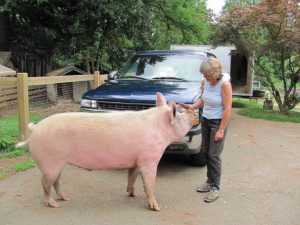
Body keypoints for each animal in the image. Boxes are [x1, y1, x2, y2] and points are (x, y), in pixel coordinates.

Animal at [17, 92, 195, 211]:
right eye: (180, 116)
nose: (192, 111)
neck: (159, 130)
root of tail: (35, 129)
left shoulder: (136, 160)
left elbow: (132, 178)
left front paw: (133, 195)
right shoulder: (149, 160)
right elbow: (149, 184)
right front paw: (157, 208)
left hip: (57, 163)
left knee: (56, 181)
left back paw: (65, 198)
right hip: (49, 162)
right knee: (45, 183)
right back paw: (53, 205)